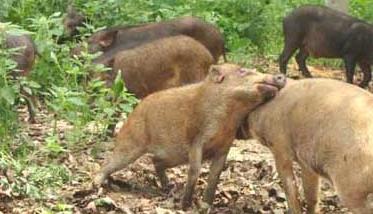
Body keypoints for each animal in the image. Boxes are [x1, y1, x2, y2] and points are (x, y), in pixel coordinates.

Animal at [94, 63, 286, 209]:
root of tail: (133, 111)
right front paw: (185, 205)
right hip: (131, 142)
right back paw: (97, 185)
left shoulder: (224, 147)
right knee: (108, 163)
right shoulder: (196, 140)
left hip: (174, 156)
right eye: (242, 71)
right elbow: (195, 170)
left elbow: (215, 176)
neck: (226, 119)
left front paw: (206, 206)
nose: (281, 76)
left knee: (155, 161)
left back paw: (168, 187)